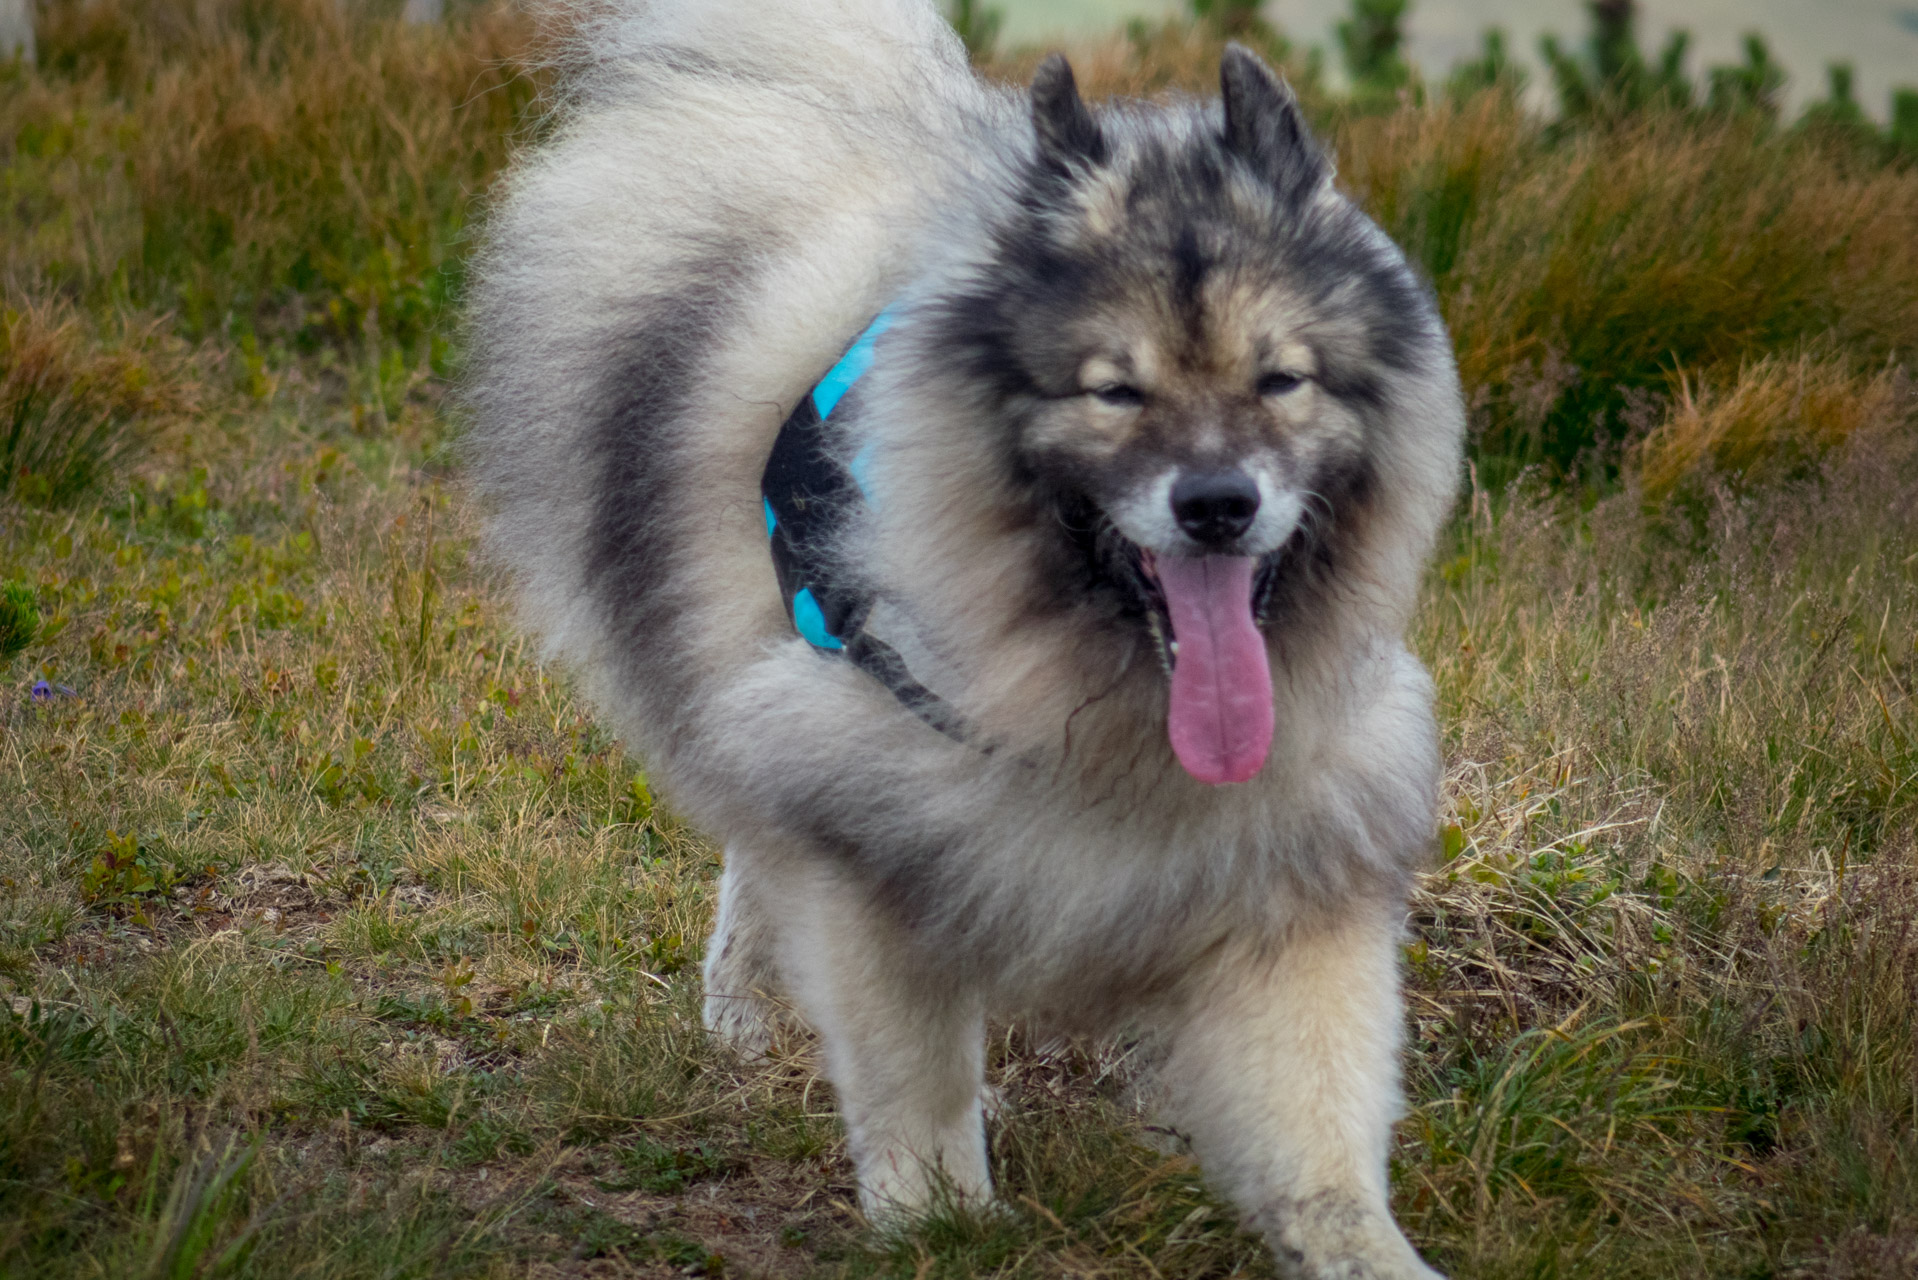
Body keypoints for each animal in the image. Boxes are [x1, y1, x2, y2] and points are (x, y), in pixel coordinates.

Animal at [464, 5, 1450, 1274]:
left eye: (1281, 379)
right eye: (1114, 391)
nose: (1217, 503)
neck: (1104, 704)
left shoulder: (1289, 872)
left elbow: (1317, 1139)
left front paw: (1366, 1246)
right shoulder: (871, 836)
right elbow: (915, 1073)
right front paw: (939, 1217)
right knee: (751, 836)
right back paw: (742, 1011)